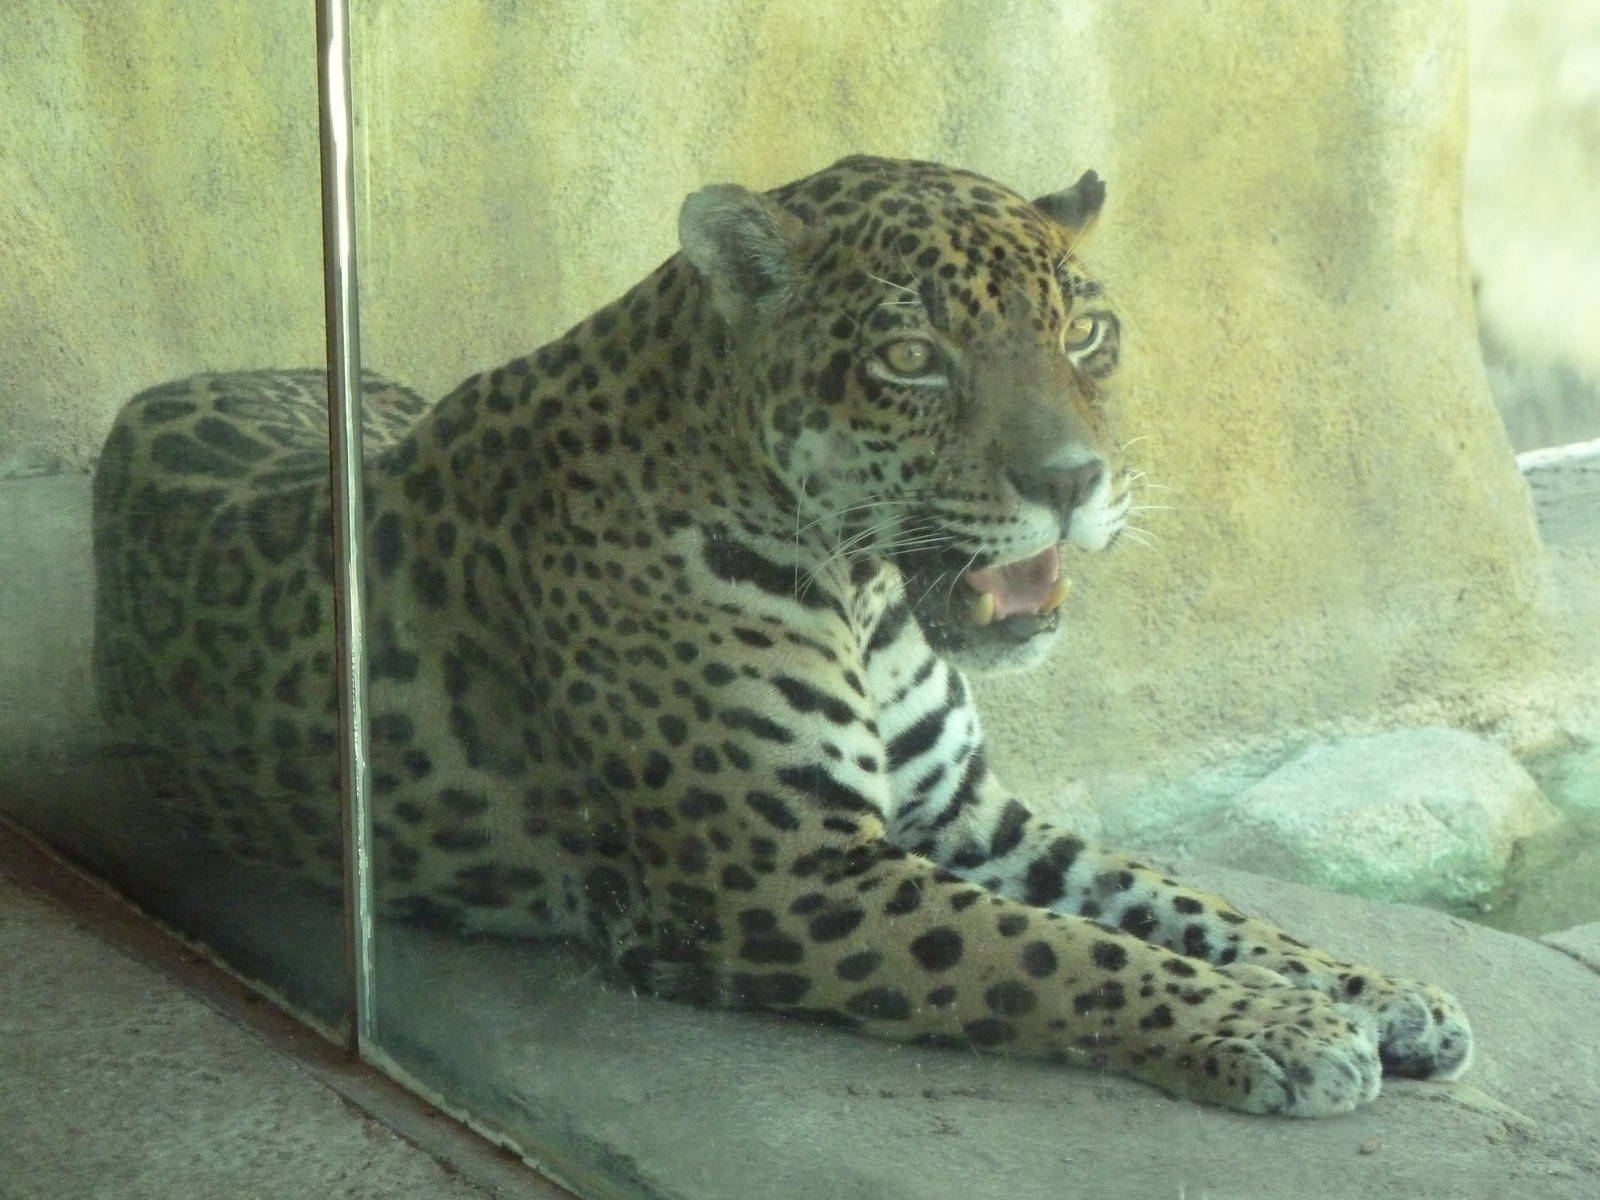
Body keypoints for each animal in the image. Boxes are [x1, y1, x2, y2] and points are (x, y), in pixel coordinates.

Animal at [92, 155, 1472, 1117]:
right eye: (912, 356)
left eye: (1086, 335)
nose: (1073, 481)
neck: (869, 598)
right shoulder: (778, 875)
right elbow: (1054, 954)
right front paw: (1280, 1031)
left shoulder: (965, 815)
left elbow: (1170, 899)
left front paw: (1380, 992)